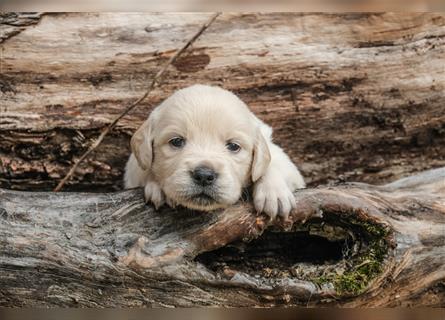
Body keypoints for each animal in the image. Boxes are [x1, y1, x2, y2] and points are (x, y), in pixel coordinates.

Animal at [125, 85, 306, 220]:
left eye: (233, 146)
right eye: (176, 141)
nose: (204, 175)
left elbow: (272, 163)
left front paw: (274, 193)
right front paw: (159, 186)